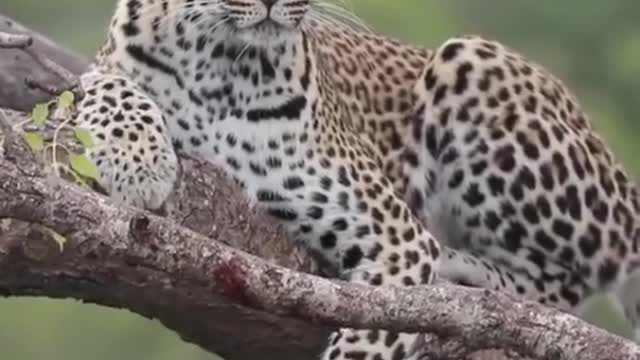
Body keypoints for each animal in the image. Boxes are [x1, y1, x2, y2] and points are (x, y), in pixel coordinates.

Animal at [74, 0, 444, 360]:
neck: (216, 64)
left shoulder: (404, 243)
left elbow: (369, 342)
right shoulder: (103, 68)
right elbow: (107, 85)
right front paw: (138, 162)